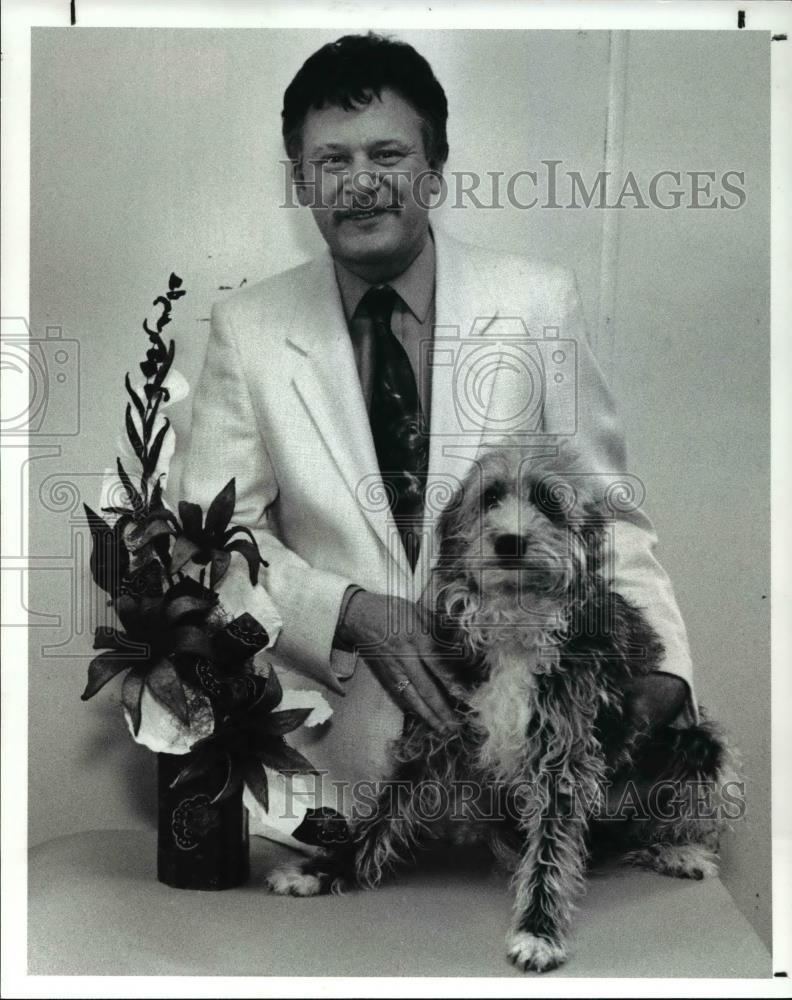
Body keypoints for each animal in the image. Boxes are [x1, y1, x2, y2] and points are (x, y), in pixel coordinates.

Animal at [268, 450, 736, 972]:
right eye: (490, 497)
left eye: (550, 502)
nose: (510, 541)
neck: (514, 621)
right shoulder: (435, 729)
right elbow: (383, 811)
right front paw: (327, 868)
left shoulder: (563, 752)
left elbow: (551, 848)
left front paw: (538, 930)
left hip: (698, 744)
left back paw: (679, 850)